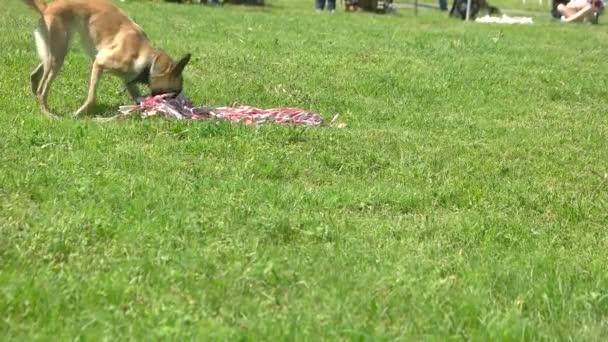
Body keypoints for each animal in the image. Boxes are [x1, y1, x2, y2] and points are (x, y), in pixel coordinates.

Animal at [23, 0, 190, 117]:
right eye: (176, 90)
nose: (178, 102)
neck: (149, 61)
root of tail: (47, 7)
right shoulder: (99, 63)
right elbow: (91, 98)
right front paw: (79, 114)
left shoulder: (129, 80)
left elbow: (137, 97)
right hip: (58, 56)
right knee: (43, 89)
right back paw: (47, 113)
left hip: (55, 53)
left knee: (35, 75)